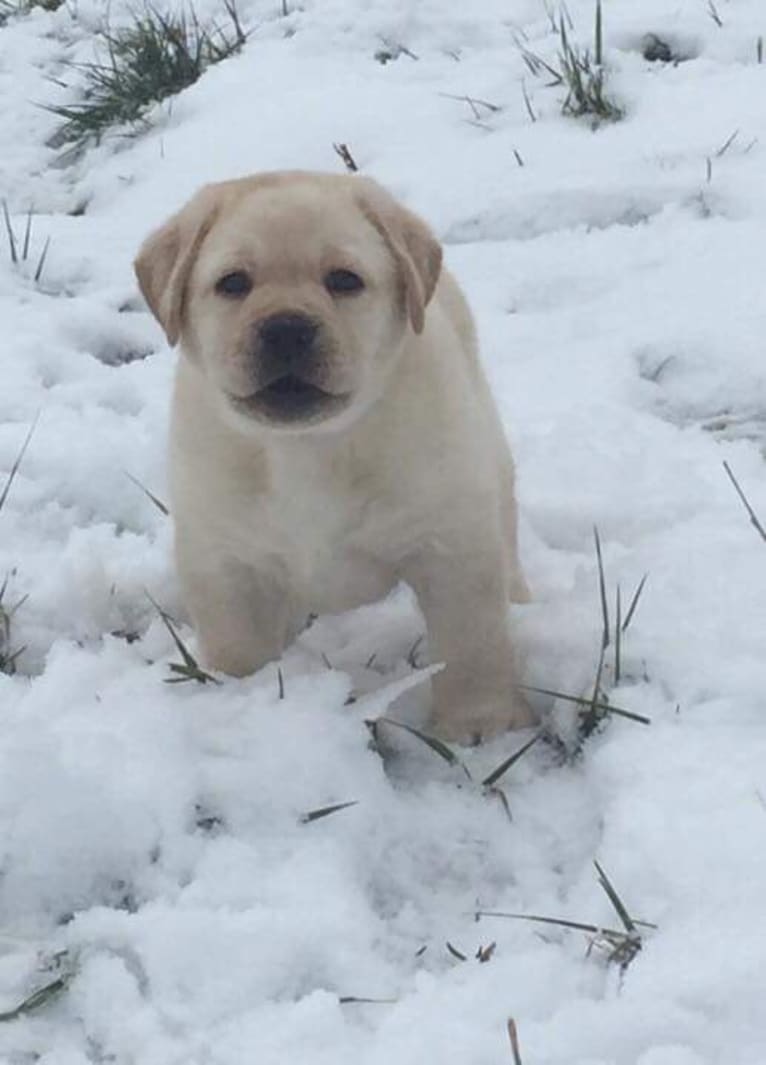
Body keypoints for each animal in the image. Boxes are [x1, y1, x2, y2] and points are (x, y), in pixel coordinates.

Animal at [134, 172, 530, 741]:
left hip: (488, 462)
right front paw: (241, 703)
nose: (286, 327)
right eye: (233, 283)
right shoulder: (225, 559)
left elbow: (471, 645)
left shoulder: (449, 544)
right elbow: (238, 647)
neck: (307, 447)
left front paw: (480, 726)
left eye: (344, 280)